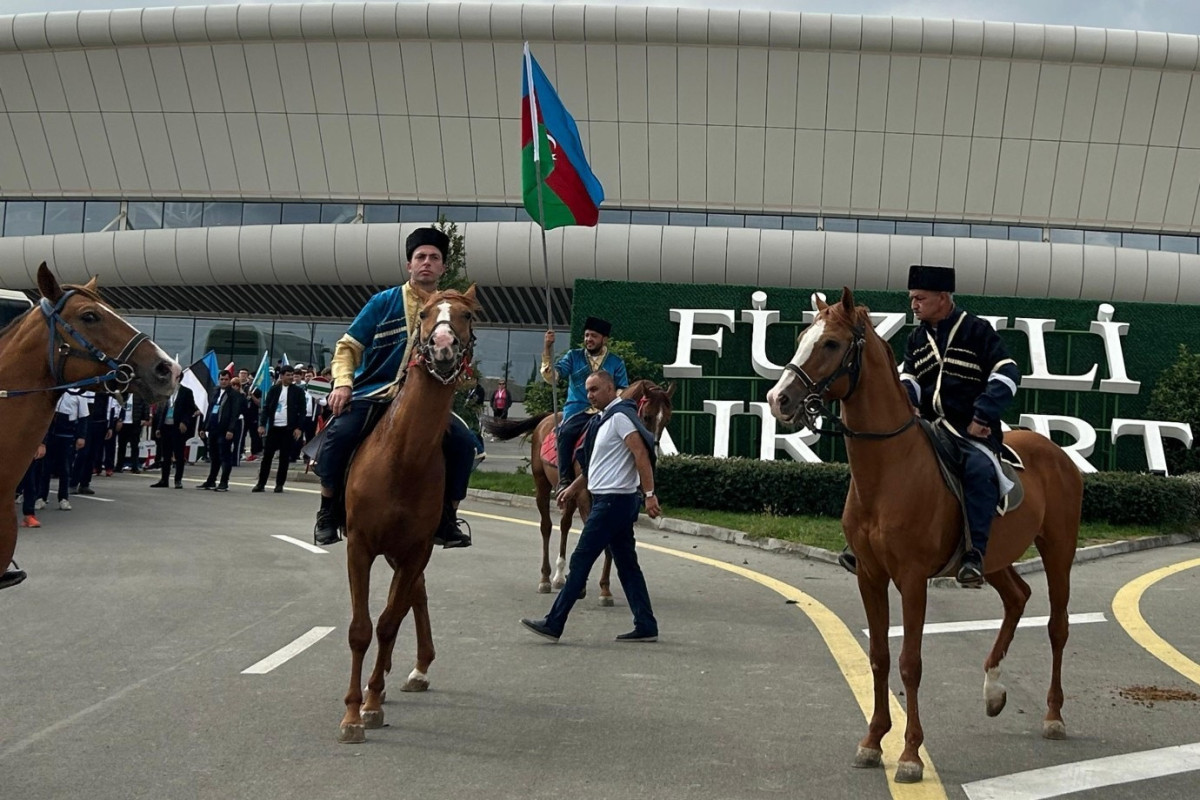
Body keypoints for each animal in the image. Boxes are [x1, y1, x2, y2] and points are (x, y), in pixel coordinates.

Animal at [336, 286, 480, 743]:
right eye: (427, 314)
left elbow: (387, 623)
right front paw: (351, 715)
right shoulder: (360, 546)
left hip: (409, 550)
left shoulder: (418, 547)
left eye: (467, 315)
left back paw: (413, 670)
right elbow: (360, 629)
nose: (443, 345)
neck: (403, 457)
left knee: (412, 597)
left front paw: (370, 704)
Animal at [484, 381, 676, 599]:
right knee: (546, 526)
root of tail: (548, 418)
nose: (653, 457)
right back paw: (545, 578)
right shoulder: (585, 495)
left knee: (565, 524)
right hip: (542, 485)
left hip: (569, 496)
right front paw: (583, 586)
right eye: (647, 416)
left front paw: (604, 588)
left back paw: (559, 576)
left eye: (667, 419)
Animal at [768, 287, 1089, 782]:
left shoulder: (913, 579)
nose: (778, 399)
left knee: (1057, 626)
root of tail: (1055, 451)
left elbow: (910, 663)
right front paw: (872, 740)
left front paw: (910, 753)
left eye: (831, 344)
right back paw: (993, 688)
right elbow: (879, 656)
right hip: (993, 558)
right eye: (803, 337)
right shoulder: (870, 577)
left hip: (1058, 549)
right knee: (1017, 598)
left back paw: (1053, 715)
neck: (888, 470)